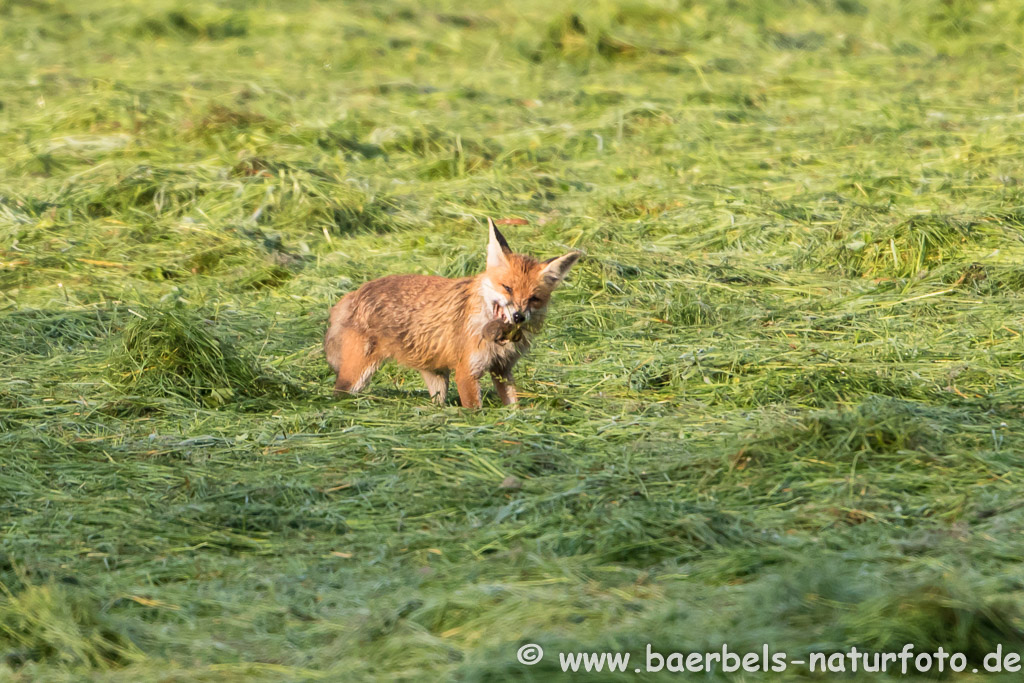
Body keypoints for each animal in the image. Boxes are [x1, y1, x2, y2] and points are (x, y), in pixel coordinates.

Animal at [327, 219, 585, 409]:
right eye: (508, 288)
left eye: (534, 299)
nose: (518, 317)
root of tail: (355, 292)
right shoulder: (466, 372)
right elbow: (474, 409)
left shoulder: (503, 369)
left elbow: (513, 404)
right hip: (356, 376)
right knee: (337, 394)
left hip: (437, 376)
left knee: (437, 401)